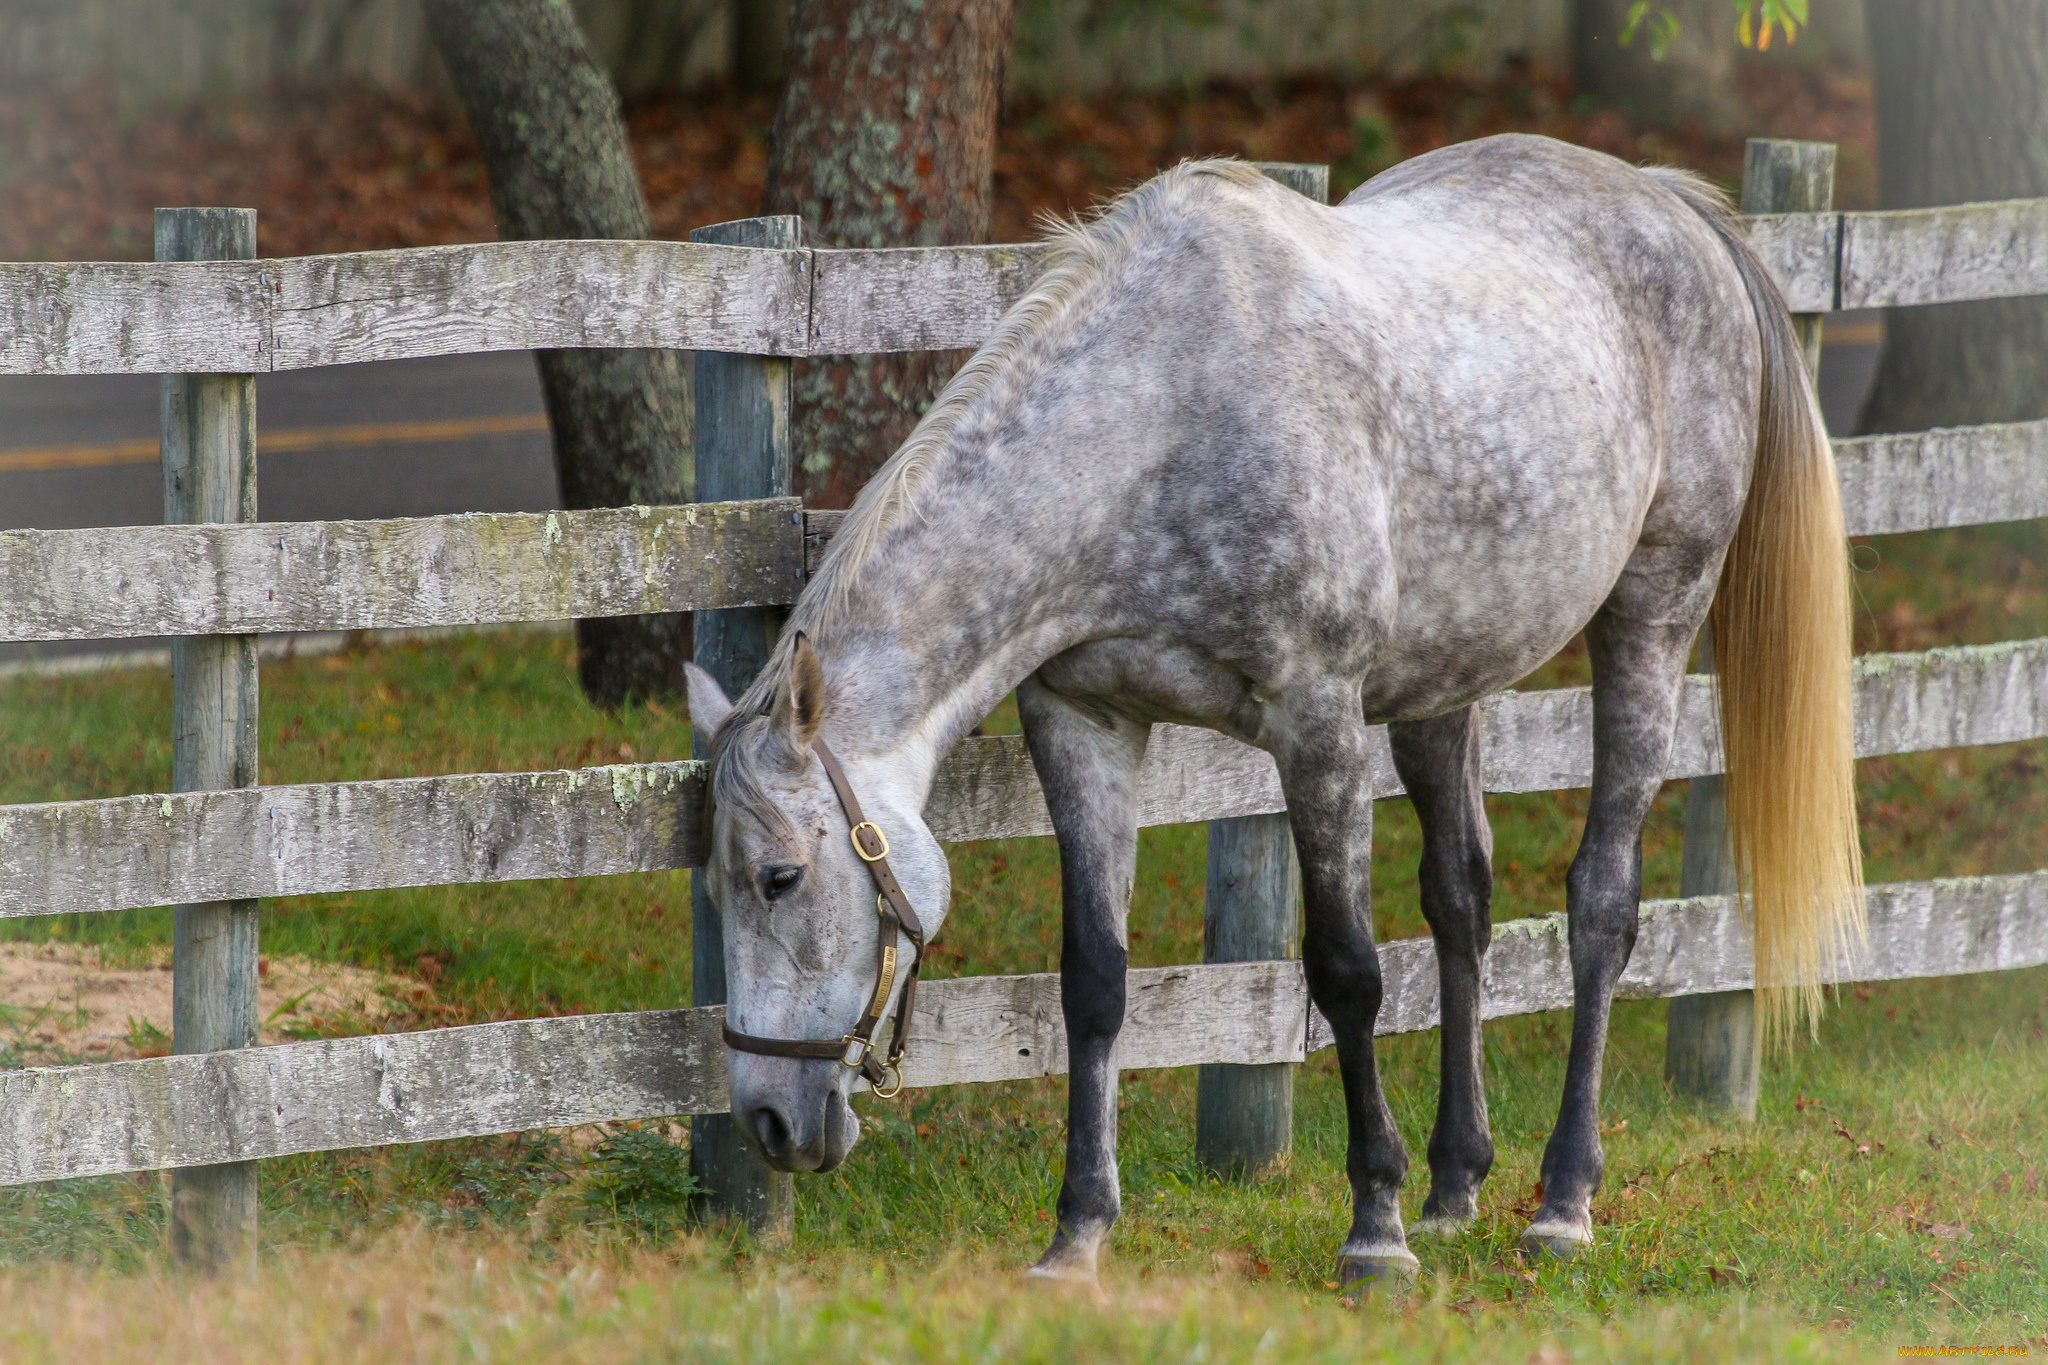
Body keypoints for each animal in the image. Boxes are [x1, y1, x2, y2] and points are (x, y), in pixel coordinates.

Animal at [679, 136, 1867, 1293]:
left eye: (779, 877)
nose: (769, 1120)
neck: (1161, 419)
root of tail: (1662, 199)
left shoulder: (1317, 722)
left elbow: (1344, 971)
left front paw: (1373, 1231)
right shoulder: (1080, 722)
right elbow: (1094, 982)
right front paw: (1077, 1235)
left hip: (1653, 614)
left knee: (1602, 906)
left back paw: (1560, 1205)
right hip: (1446, 681)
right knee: (1462, 902)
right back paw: (1455, 1187)